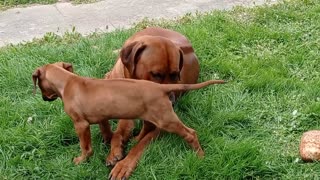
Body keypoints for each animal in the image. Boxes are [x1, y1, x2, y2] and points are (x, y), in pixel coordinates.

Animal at [31, 62, 224, 179]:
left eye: (39, 85)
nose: (43, 99)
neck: (68, 81)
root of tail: (161, 87)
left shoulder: (80, 124)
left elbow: (85, 146)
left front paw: (81, 160)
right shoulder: (102, 116)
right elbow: (106, 130)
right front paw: (110, 146)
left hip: (166, 120)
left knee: (190, 133)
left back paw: (200, 156)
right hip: (151, 116)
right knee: (146, 130)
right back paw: (135, 139)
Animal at [104, 27, 200, 174]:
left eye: (175, 75)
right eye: (156, 75)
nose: (171, 102)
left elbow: (141, 144)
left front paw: (124, 165)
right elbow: (118, 133)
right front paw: (114, 151)